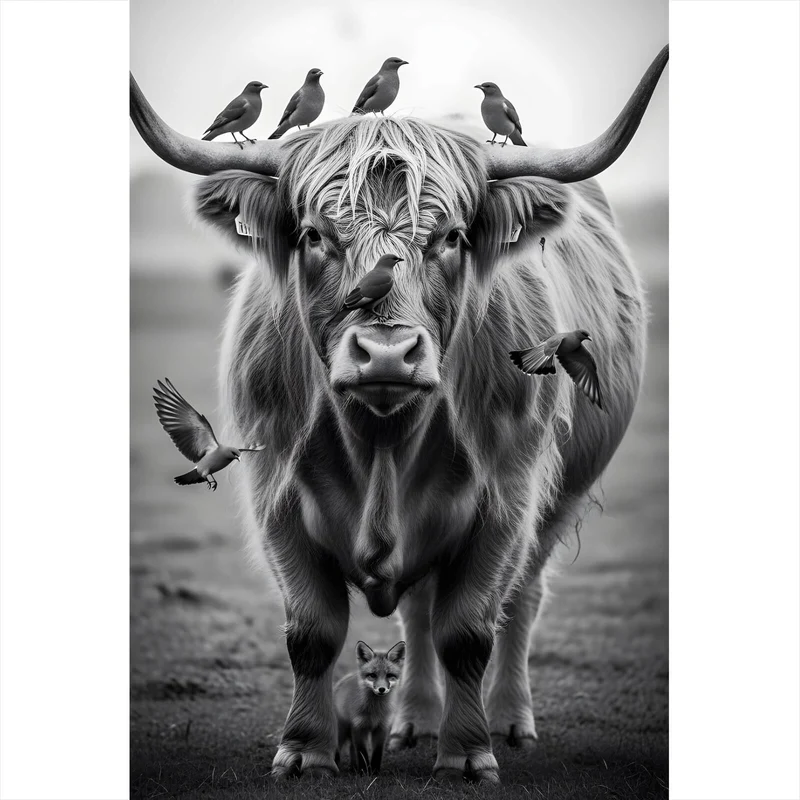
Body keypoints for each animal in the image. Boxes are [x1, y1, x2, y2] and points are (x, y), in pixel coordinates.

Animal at [334, 640, 406, 774]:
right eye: (372, 675)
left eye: (389, 675)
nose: (381, 689)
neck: (375, 711)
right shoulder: (359, 726)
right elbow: (362, 752)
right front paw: (364, 772)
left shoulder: (382, 727)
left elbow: (377, 753)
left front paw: (374, 772)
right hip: (341, 730)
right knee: (338, 749)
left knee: (351, 748)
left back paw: (353, 768)